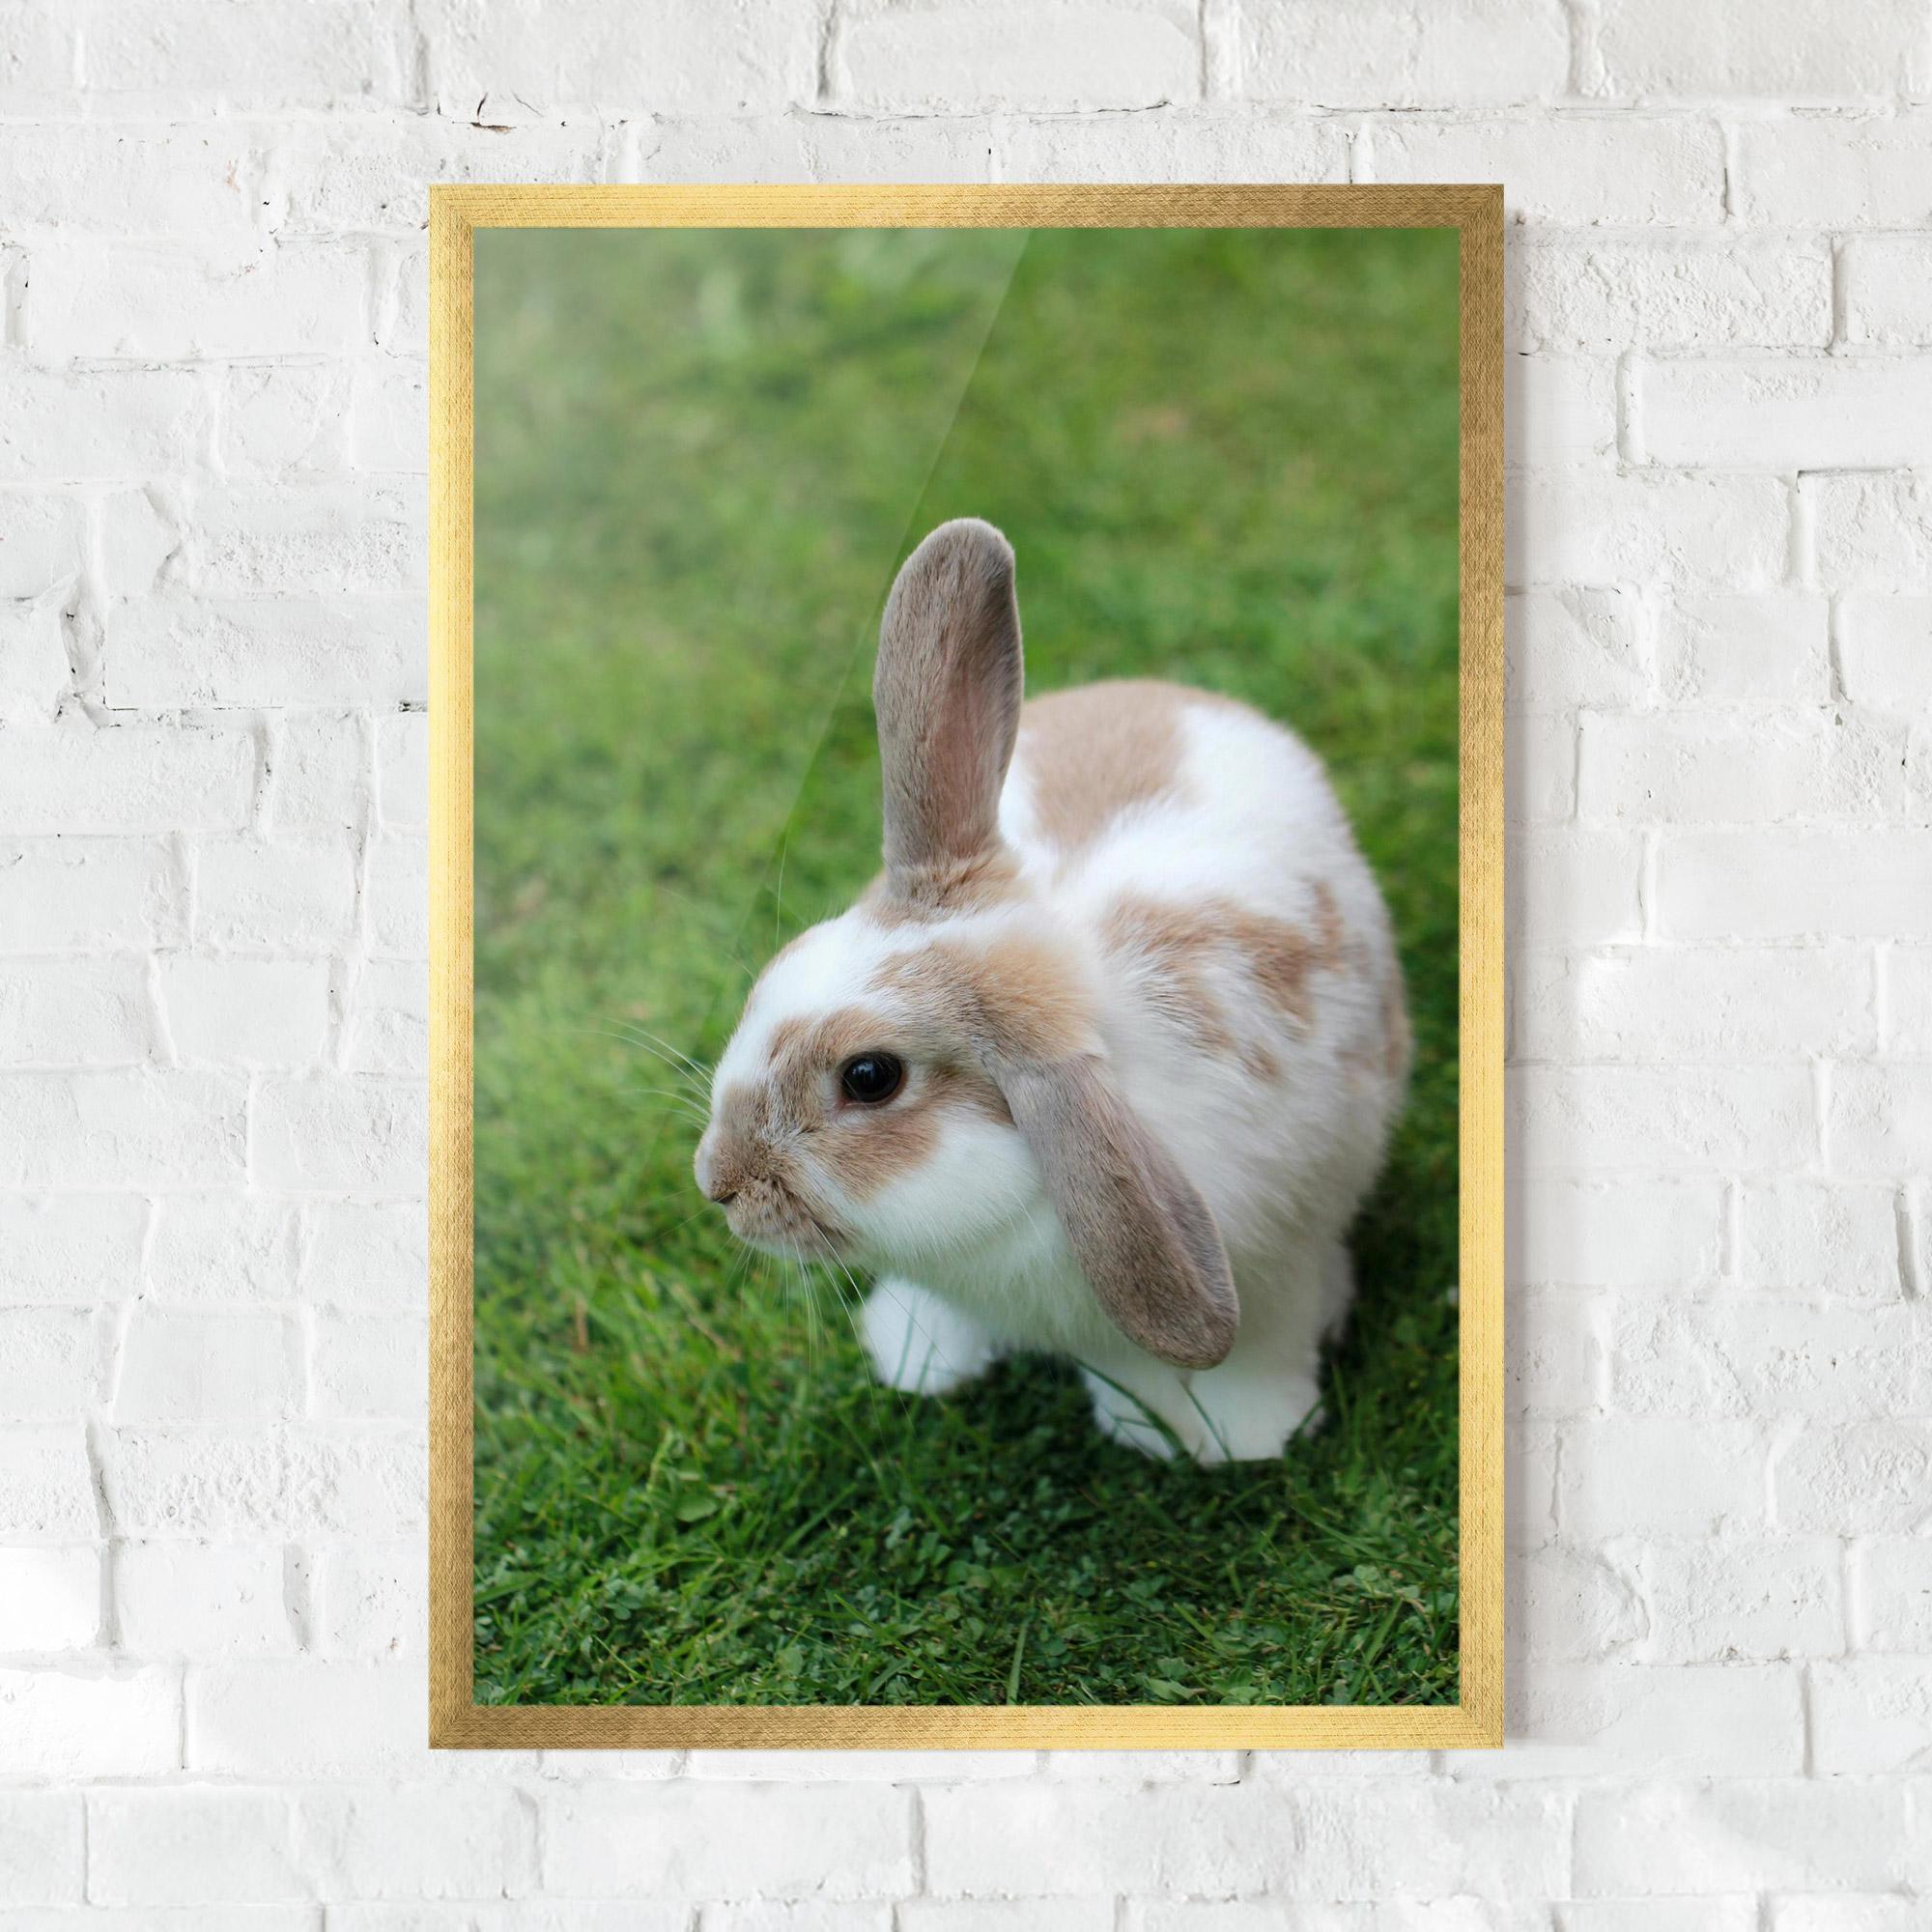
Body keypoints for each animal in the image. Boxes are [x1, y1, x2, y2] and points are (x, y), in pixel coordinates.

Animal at [694, 518, 1411, 1464]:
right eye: (783, 966)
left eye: (870, 1078)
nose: (718, 1182)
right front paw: (917, 1357)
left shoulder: (1273, 1267)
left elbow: (1255, 1353)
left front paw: (1244, 1436)